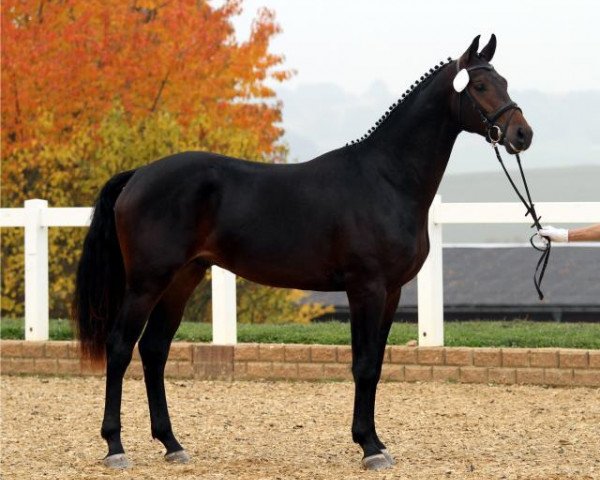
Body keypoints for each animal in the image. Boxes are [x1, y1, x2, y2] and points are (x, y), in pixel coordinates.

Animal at [71, 35, 536, 470]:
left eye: (505, 81)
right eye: (479, 85)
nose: (522, 134)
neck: (386, 178)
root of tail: (138, 175)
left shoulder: (392, 292)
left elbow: (376, 364)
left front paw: (376, 442)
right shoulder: (365, 288)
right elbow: (363, 365)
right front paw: (369, 447)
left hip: (184, 277)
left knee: (154, 349)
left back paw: (172, 444)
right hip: (147, 281)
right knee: (120, 346)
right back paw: (115, 447)